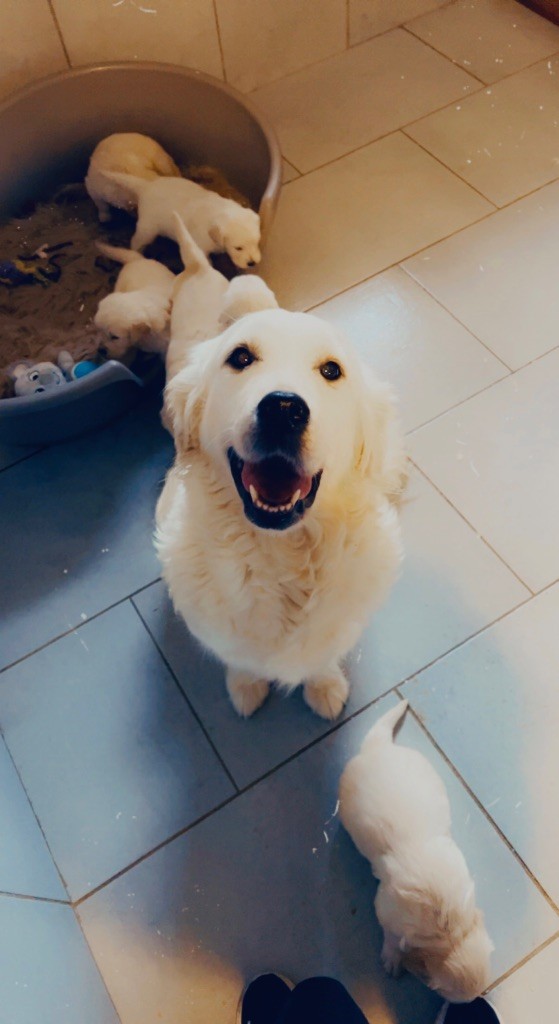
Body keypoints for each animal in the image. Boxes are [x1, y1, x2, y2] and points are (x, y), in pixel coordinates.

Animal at [104, 169, 261, 270]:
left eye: (256, 243)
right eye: (238, 248)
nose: (252, 263)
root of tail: (147, 186)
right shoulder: (200, 244)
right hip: (147, 228)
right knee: (136, 241)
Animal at [155, 307, 405, 716]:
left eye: (331, 370)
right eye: (240, 357)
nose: (283, 408)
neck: (281, 557)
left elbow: (321, 658)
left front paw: (325, 687)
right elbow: (240, 659)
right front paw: (246, 686)